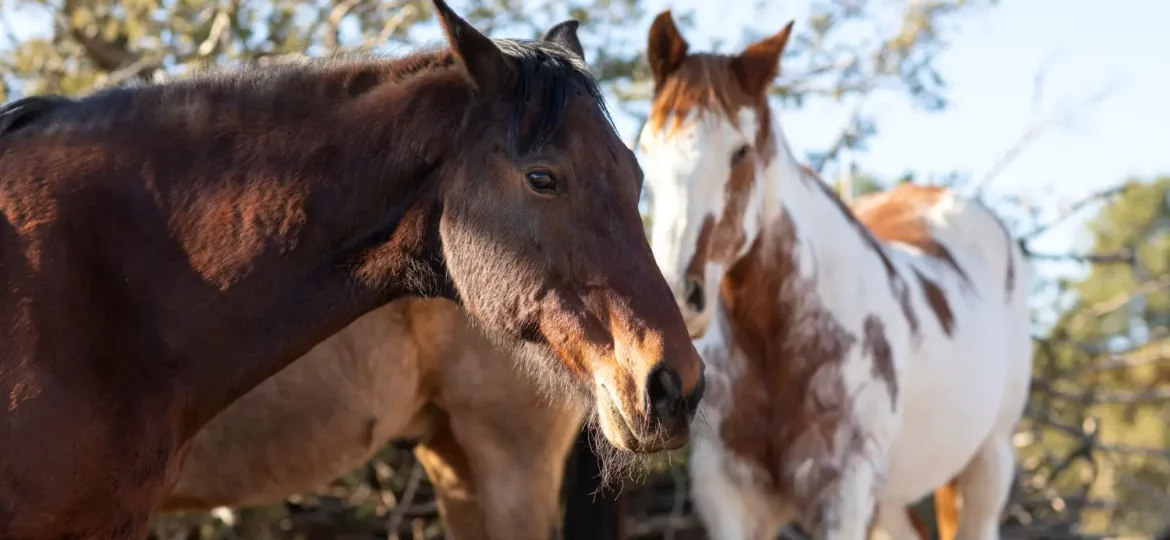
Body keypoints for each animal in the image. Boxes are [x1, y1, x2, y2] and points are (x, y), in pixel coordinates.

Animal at [635, 11, 1032, 540]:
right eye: (647, 148)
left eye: (740, 151)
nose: (680, 294)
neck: (778, 345)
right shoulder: (728, 497)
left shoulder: (844, 497)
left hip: (988, 465)